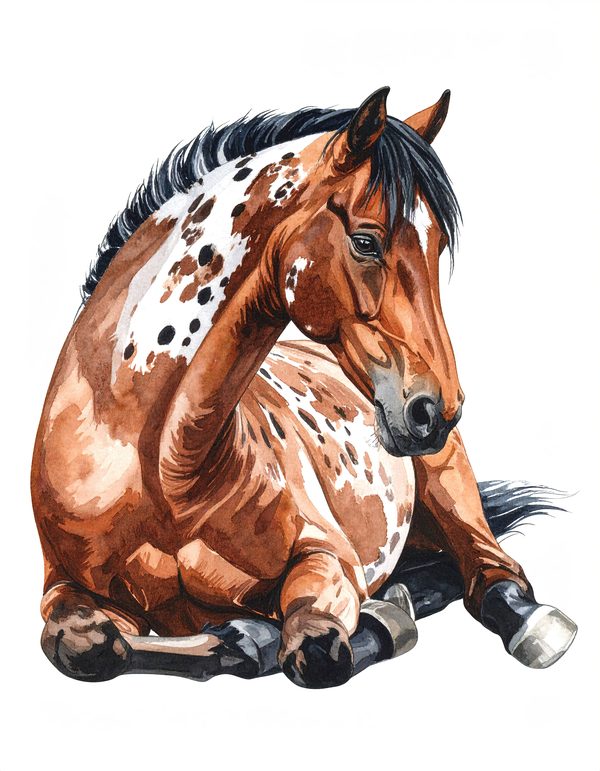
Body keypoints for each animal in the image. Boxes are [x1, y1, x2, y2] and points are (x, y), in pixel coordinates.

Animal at [31, 87, 576, 688]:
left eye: (436, 247)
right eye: (366, 242)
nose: (437, 410)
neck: (161, 473)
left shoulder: (327, 557)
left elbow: (314, 651)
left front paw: (290, 632)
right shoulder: (64, 585)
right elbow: (84, 645)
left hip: (449, 482)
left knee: (491, 569)